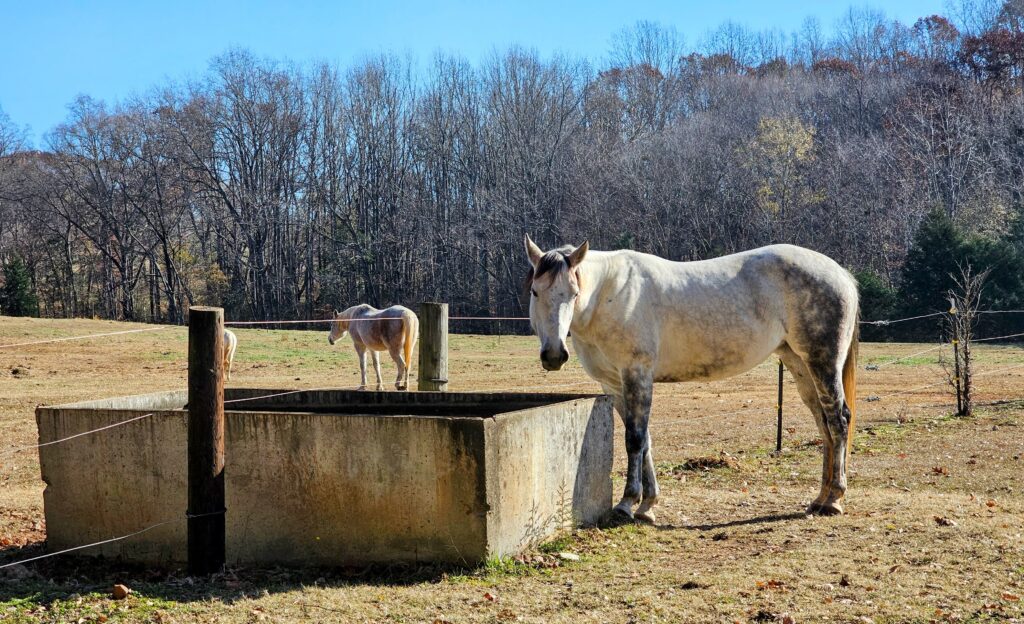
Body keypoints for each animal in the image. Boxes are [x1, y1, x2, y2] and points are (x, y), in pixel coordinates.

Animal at [524, 235, 860, 522]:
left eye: (573, 293)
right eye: (535, 292)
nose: (554, 355)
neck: (610, 294)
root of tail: (842, 274)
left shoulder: (637, 375)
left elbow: (635, 439)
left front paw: (627, 503)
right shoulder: (614, 385)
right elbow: (645, 440)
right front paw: (647, 505)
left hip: (823, 363)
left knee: (839, 421)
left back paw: (834, 499)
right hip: (799, 364)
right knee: (824, 424)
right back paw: (819, 498)